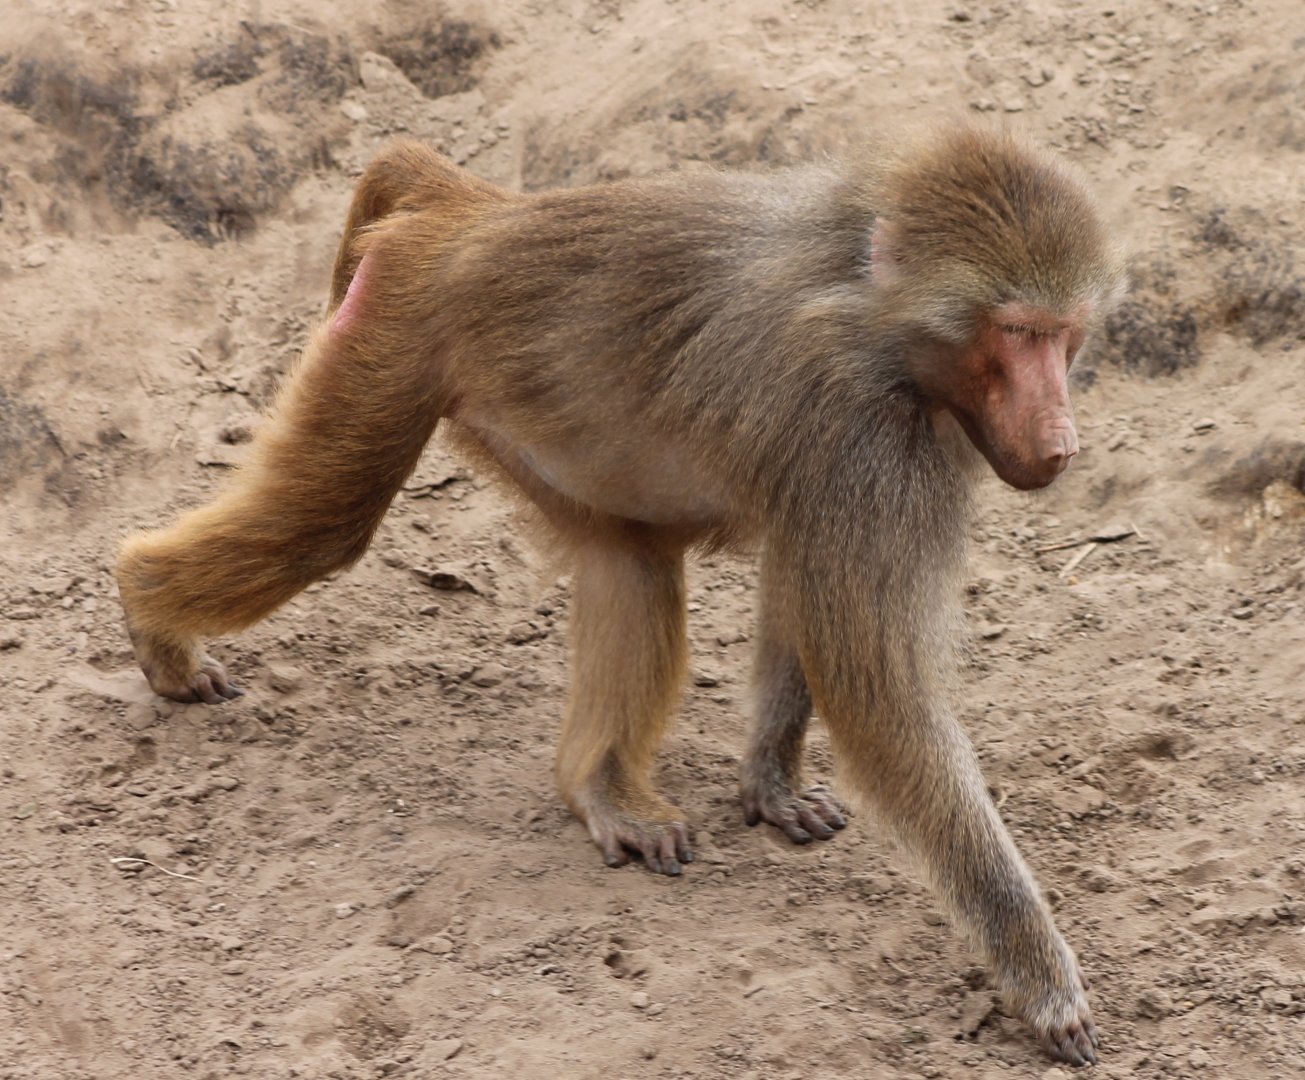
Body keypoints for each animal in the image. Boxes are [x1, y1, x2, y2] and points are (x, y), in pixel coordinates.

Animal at [116, 129, 1125, 1065]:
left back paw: (600, 792)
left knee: (628, 558)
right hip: (395, 324)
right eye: (1015, 332)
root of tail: (477, 213)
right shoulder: (857, 434)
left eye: (1062, 332)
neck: (869, 306)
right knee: (325, 525)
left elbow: (800, 605)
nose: (1061, 440)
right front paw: (1041, 979)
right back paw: (149, 611)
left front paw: (768, 782)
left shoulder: (841, 456)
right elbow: (876, 692)